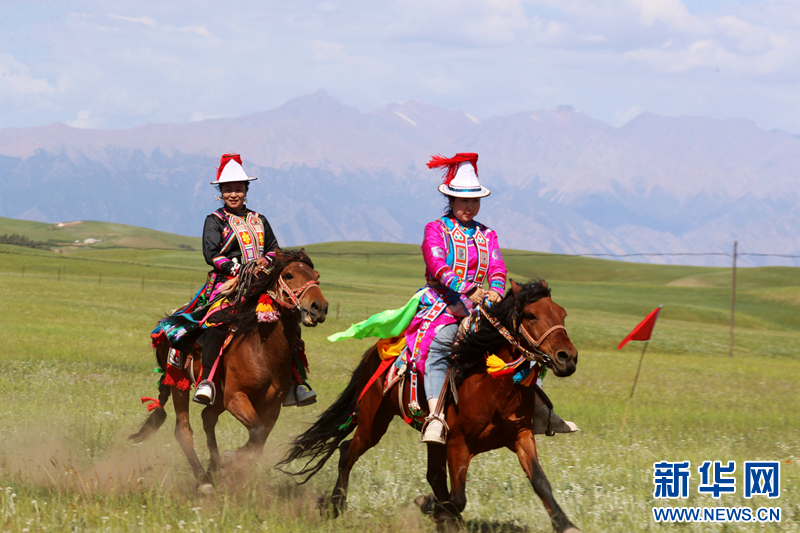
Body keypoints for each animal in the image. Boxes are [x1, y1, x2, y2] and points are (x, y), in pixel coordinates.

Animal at [129, 249, 328, 490]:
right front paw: (229, 459)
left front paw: (236, 471)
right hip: (180, 383)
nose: (319, 307)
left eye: (317, 276)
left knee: (207, 417)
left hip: (219, 395)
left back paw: (212, 469)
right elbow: (257, 432)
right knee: (183, 430)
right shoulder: (236, 397)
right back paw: (203, 479)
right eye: (289, 275)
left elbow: (260, 440)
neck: (262, 349)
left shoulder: (272, 405)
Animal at [278, 279, 581, 533]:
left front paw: (566, 524)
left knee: (432, 474)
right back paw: (336, 506)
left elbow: (540, 482)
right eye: (531, 315)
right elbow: (458, 496)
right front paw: (428, 505)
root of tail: (376, 353)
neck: (493, 386)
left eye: (563, 314)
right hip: (372, 423)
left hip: (431, 438)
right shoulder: (459, 443)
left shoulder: (521, 435)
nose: (567, 357)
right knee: (346, 452)